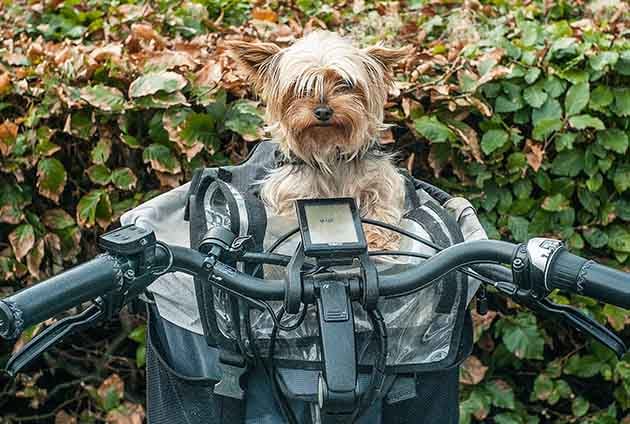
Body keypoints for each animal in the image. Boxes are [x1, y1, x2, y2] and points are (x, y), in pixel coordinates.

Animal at [230, 31, 412, 248]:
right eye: (300, 87)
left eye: (346, 84)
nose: (323, 111)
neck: (328, 150)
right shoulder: (290, 193)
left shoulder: (383, 181)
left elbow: (383, 205)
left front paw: (378, 238)